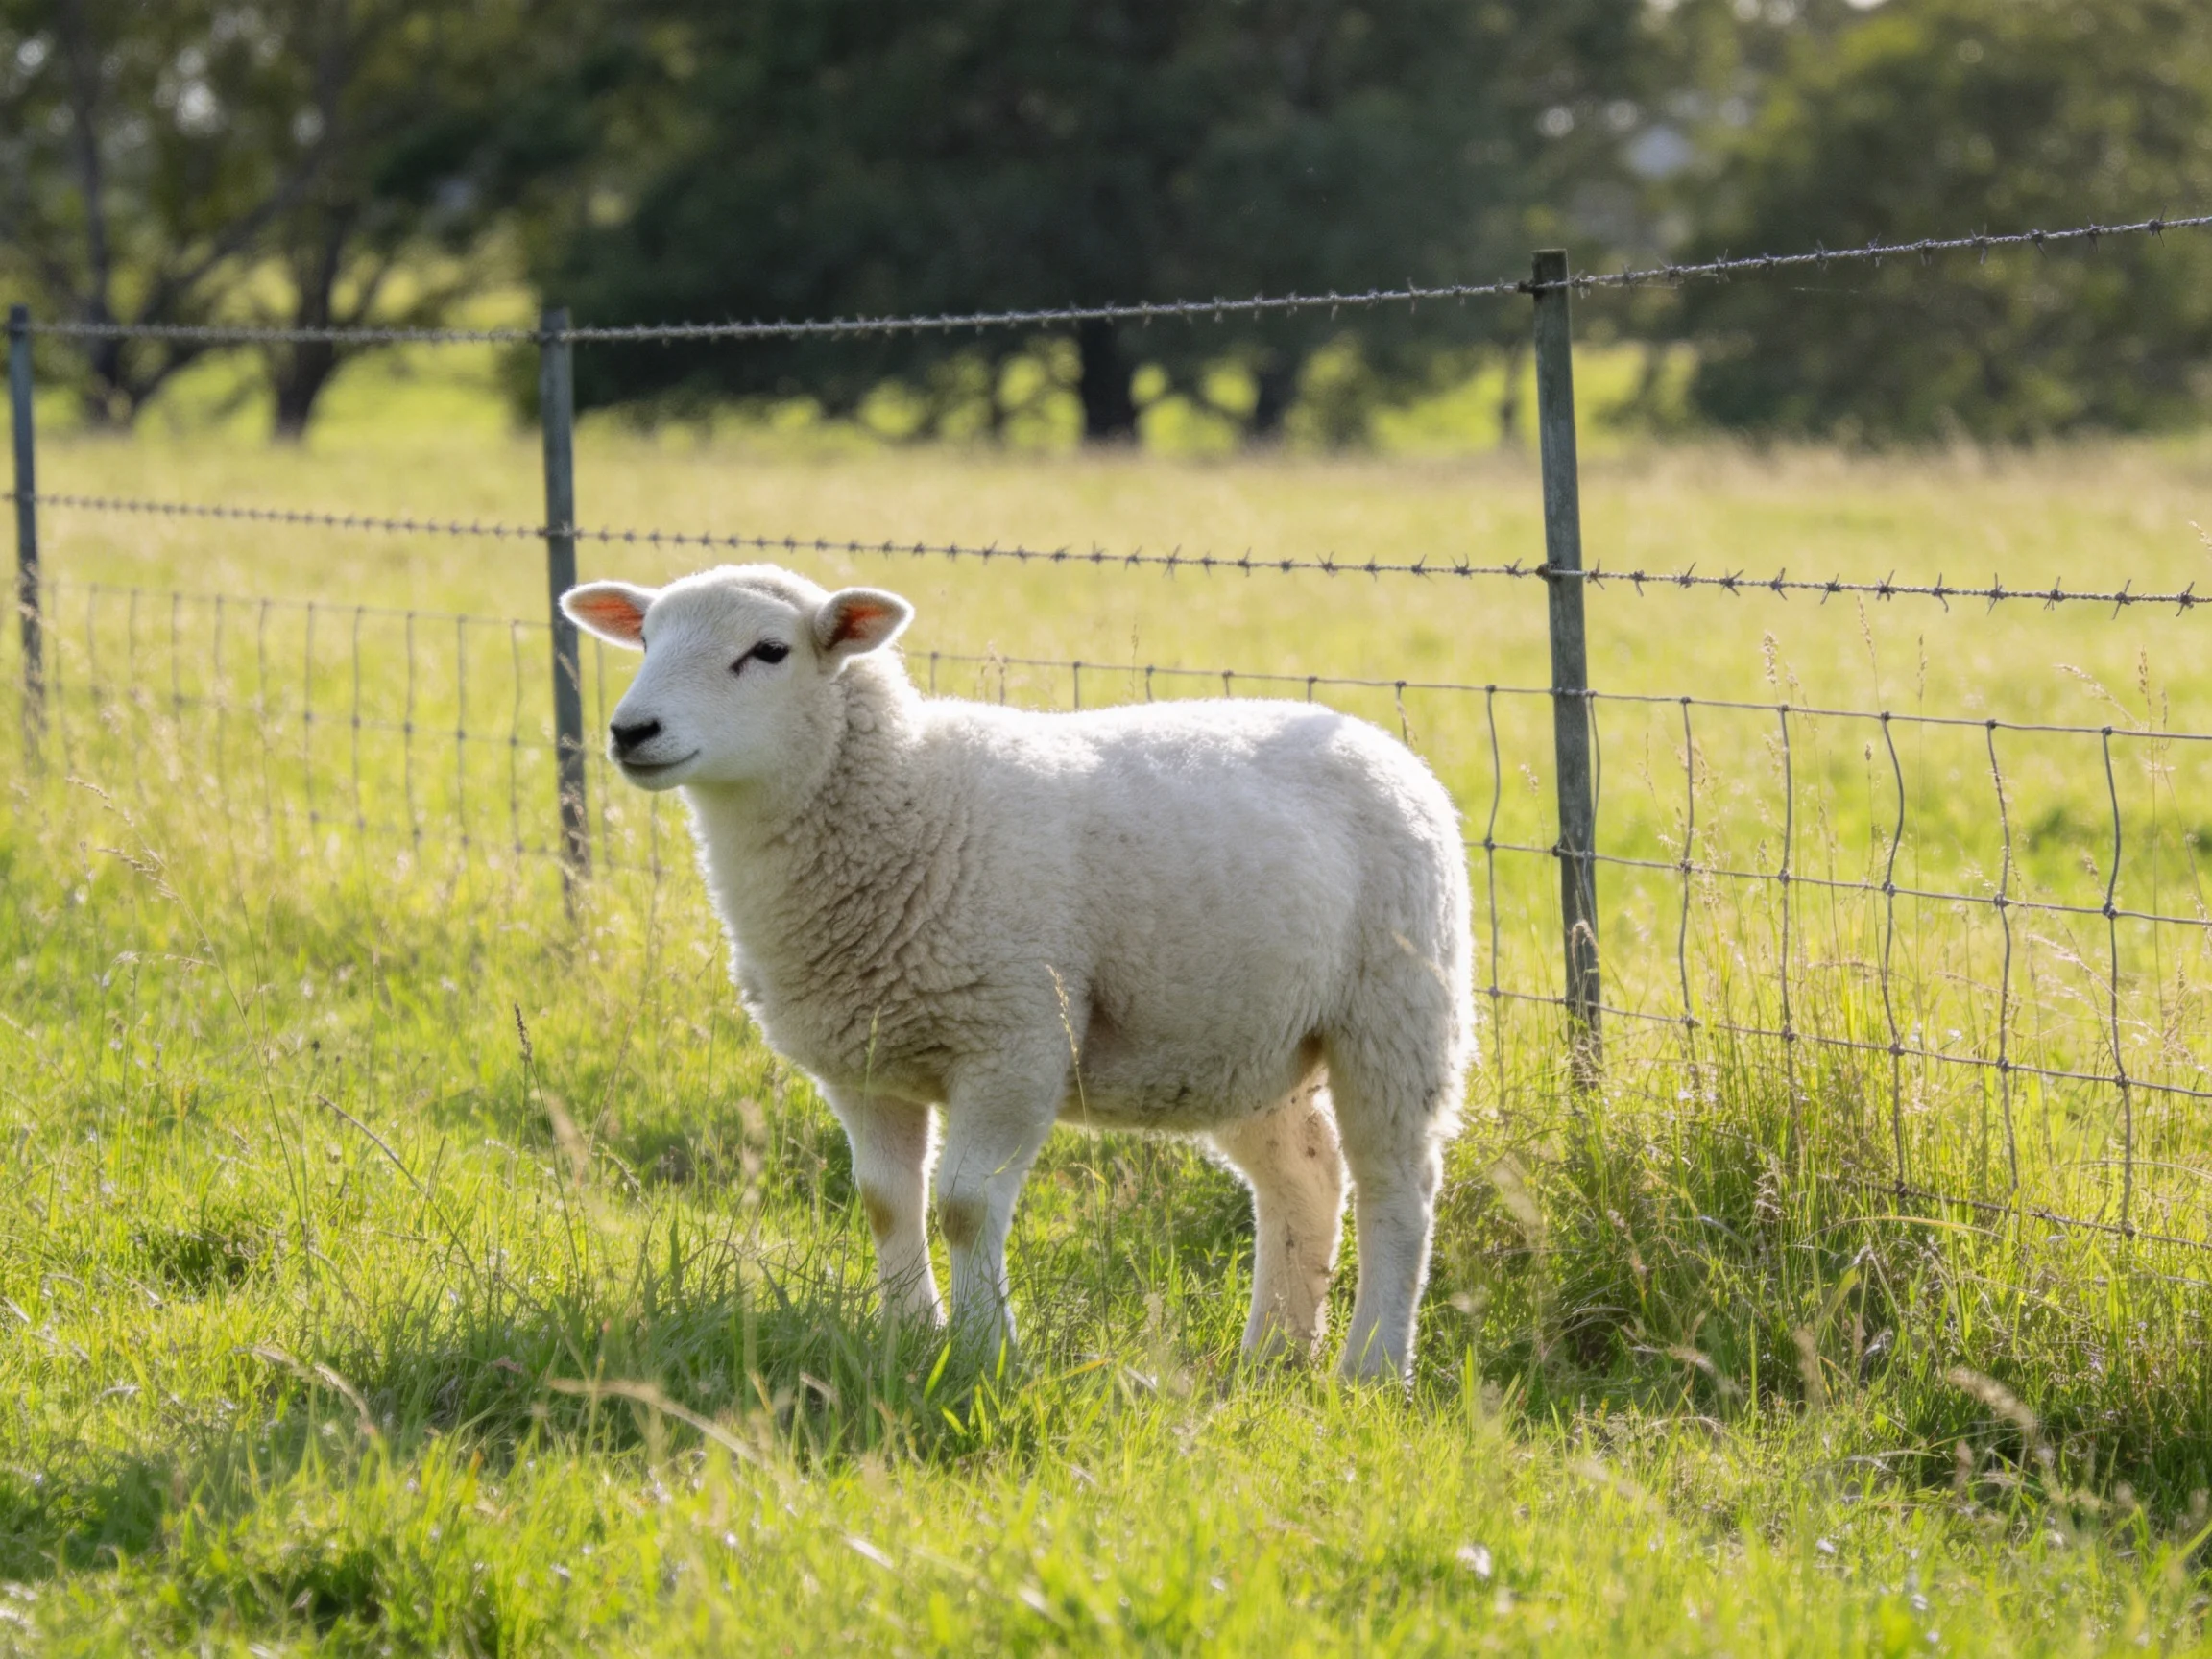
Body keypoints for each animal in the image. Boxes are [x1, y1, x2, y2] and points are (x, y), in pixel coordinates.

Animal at [561, 564, 1473, 1381]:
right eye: (646, 638)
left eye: (768, 651)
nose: (630, 732)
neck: (907, 803)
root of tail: (1379, 741)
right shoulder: (863, 1062)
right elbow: (885, 1201)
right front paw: (908, 1336)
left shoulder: (1014, 1040)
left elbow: (964, 1207)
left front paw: (982, 1351)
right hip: (1249, 1044)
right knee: (1306, 1179)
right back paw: (1273, 1359)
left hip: (1396, 1012)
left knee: (1398, 1188)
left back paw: (1372, 1367)